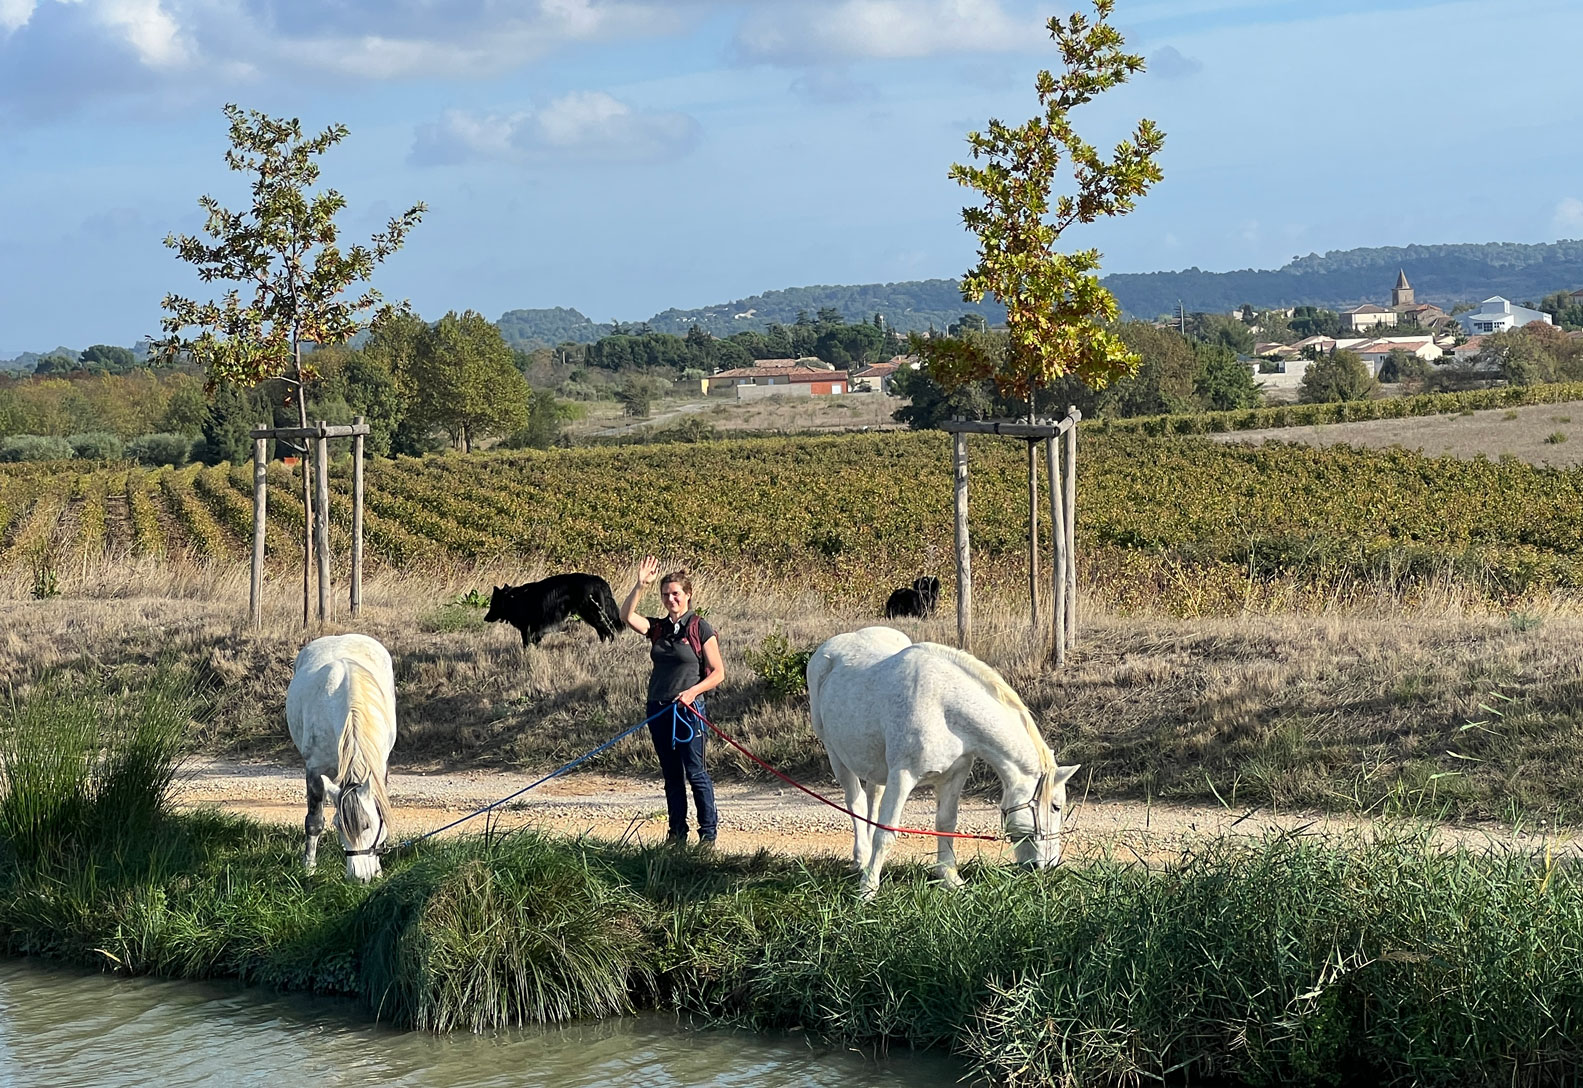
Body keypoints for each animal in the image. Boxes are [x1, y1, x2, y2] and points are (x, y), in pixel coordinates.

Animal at [291, 633, 402, 880]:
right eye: (338, 826)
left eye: (368, 825)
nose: (360, 878)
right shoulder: (315, 770)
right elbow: (314, 822)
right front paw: (309, 868)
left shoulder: (380, 769)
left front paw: (378, 869)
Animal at [484, 573, 620, 642]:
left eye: (493, 604)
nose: (485, 618)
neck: (514, 599)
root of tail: (597, 580)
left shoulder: (528, 630)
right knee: (603, 633)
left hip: (592, 615)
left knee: (609, 632)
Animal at [810, 627, 1082, 899]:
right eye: (1056, 806)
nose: (1048, 866)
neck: (943, 707)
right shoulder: (902, 775)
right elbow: (886, 832)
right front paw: (868, 889)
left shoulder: (955, 774)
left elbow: (946, 822)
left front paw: (950, 878)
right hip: (836, 755)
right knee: (855, 803)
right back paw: (862, 860)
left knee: (872, 799)